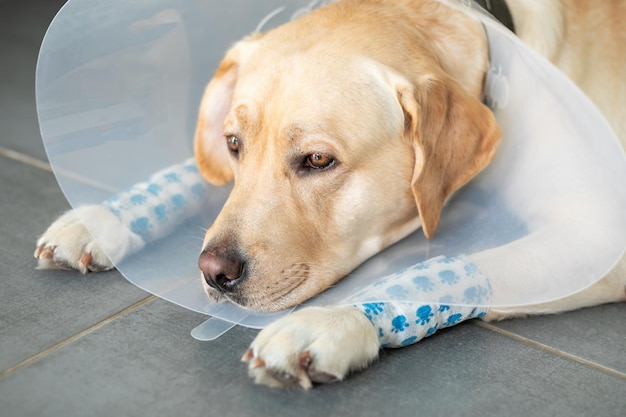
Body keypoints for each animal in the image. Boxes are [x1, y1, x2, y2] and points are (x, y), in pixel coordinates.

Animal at [35, 0, 624, 390]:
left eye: (318, 160)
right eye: (233, 144)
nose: (213, 272)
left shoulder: (596, 239)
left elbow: (444, 270)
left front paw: (331, 323)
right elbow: (190, 175)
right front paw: (101, 218)